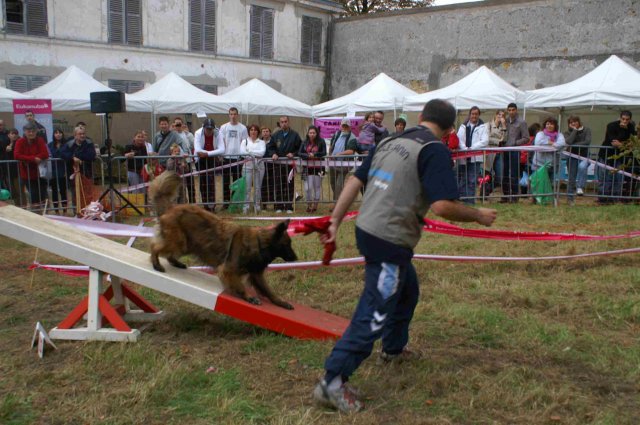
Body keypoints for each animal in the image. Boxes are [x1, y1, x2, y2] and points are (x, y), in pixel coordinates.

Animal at [150, 171, 298, 310]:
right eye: (286, 245)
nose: (296, 258)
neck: (260, 243)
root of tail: (170, 208)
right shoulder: (228, 270)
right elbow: (239, 286)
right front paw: (249, 297)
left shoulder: (256, 275)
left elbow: (270, 292)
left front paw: (282, 302)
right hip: (180, 242)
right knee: (155, 247)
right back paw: (156, 264)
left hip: (185, 244)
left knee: (169, 254)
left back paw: (176, 263)